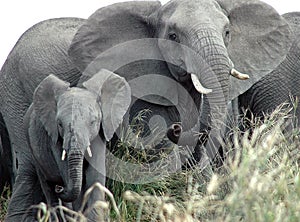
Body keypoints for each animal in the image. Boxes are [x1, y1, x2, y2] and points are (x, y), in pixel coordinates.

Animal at [6, 69, 131, 222]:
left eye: (93, 122)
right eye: (59, 124)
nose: (60, 188)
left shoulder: (99, 134)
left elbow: (95, 178)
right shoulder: (54, 138)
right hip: (31, 145)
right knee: (48, 187)